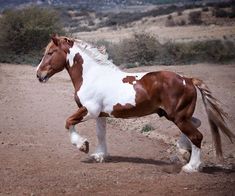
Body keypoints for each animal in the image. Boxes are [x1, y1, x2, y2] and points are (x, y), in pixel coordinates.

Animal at [35, 34, 234, 172]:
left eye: (50, 53)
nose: (39, 75)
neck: (92, 76)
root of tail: (189, 79)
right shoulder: (100, 114)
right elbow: (101, 134)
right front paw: (100, 155)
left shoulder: (90, 110)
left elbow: (68, 122)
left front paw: (83, 146)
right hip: (178, 115)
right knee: (196, 125)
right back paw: (183, 153)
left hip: (178, 117)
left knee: (197, 136)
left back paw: (191, 167)